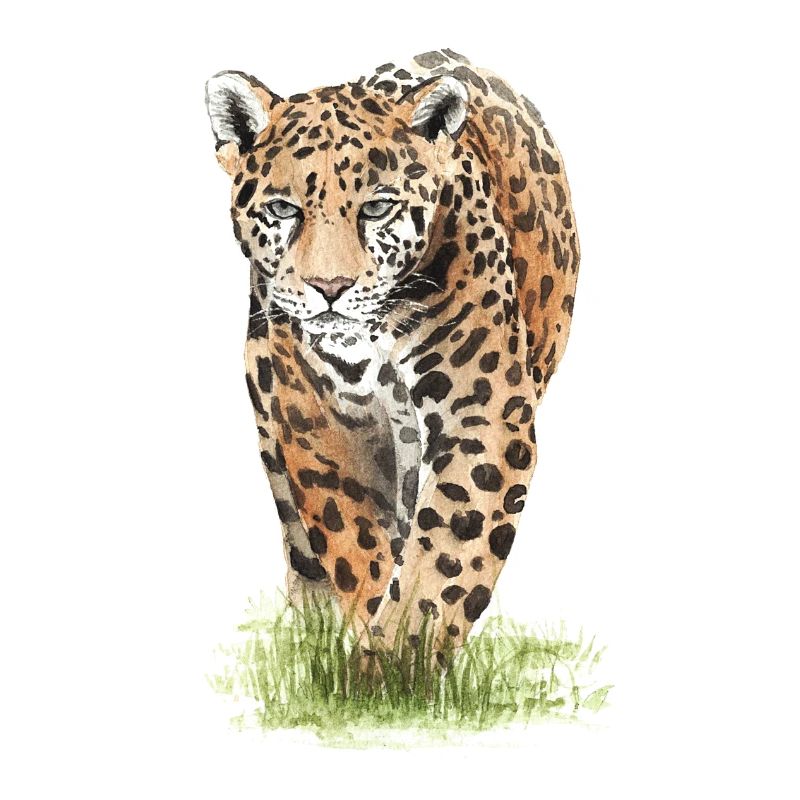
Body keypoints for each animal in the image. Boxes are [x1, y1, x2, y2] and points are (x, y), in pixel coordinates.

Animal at [205, 49, 580, 662]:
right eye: (282, 209)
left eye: (378, 207)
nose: (329, 287)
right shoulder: (320, 419)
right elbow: (356, 542)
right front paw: (374, 654)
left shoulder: (482, 417)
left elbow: (445, 558)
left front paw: (402, 663)